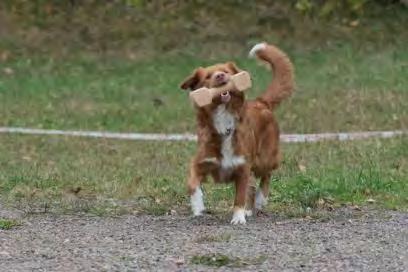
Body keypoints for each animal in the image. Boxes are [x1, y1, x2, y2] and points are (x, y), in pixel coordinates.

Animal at [180, 42, 294, 224]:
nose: (220, 76)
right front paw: (198, 206)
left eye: (226, 71)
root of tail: (261, 102)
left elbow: (239, 196)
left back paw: (260, 199)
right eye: (208, 76)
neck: (223, 122)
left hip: (264, 159)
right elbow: (192, 183)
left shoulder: (242, 167)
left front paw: (238, 217)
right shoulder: (199, 162)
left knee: (266, 175)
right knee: (253, 185)